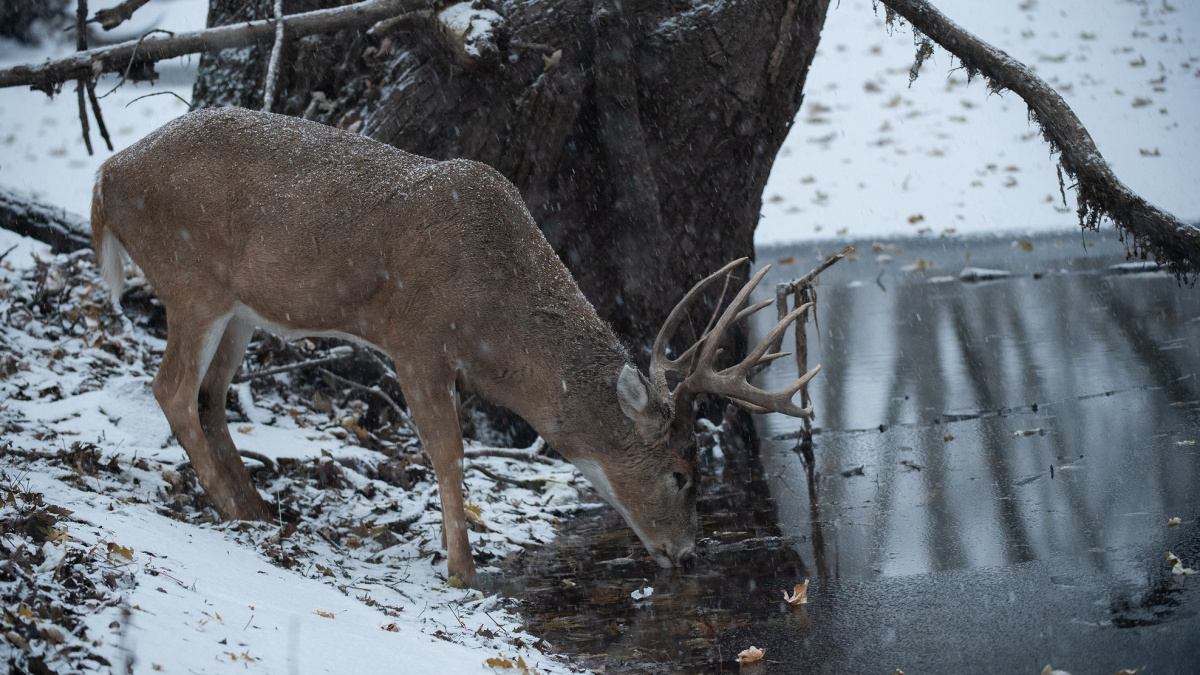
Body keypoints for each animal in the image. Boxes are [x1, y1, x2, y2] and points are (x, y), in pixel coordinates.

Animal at [88, 106, 820, 583]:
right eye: (680, 473)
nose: (688, 555)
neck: (493, 311)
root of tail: (105, 175)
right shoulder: (415, 338)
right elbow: (448, 451)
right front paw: (464, 570)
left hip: (238, 307)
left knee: (211, 396)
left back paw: (259, 508)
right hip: (191, 280)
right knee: (172, 389)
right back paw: (235, 508)